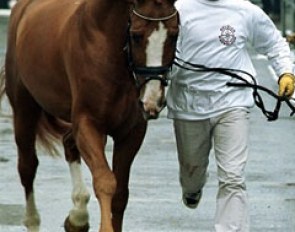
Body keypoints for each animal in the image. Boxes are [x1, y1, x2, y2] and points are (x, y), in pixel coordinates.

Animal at [0, 0, 178, 231]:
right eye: (136, 35)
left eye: (174, 34)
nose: (152, 100)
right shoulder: (88, 124)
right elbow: (105, 181)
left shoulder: (131, 132)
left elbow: (120, 193)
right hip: (24, 110)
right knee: (28, 167)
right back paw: (34, 221)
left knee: (68, 144)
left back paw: (77, 217)